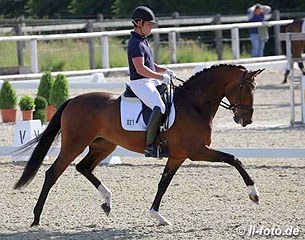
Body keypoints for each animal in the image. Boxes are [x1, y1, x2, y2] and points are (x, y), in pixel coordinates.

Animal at [14, 63, 262, 225]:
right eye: (246, 88)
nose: (246, 119)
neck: (194, 104)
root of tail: (74, 100)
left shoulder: (178, 156)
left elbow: (163, 184)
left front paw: (157, 216)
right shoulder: (197, 151)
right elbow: (234, 159)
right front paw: (253, 194)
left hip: (104, 145)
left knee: (83, 167)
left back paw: (107, 201)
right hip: (74, 144)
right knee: (53, 173)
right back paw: (36, 218)